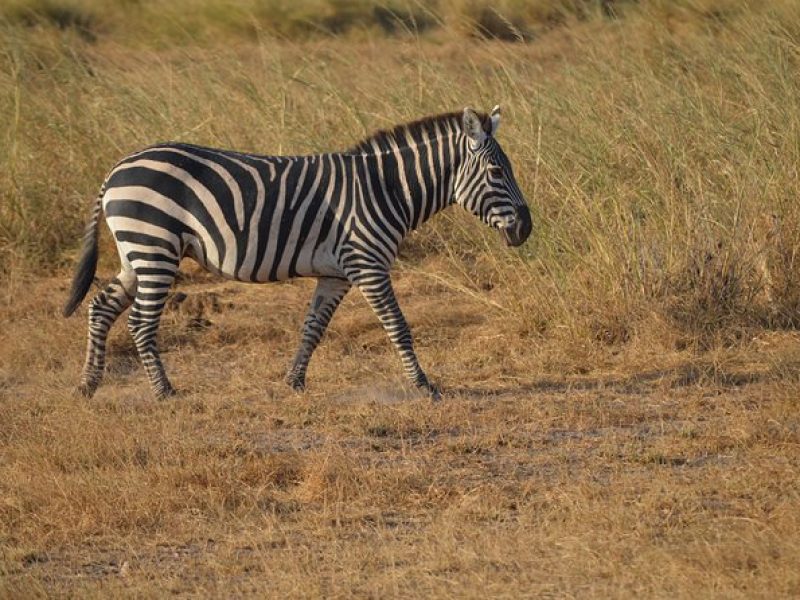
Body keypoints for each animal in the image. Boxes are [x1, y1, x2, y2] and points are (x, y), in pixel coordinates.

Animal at [64, 105, 532, 400]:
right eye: (497, 171)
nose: (526, 229)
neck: (386, 188)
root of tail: (117, 169)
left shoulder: (336, 274)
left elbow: (312, 328)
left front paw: (294, 382)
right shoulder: (368, 264)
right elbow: (398, 326)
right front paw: (424, 386)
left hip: (137, 252)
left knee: (101, 308)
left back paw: (88, 384)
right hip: (155, 247)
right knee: (140, 323)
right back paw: (164, 392)